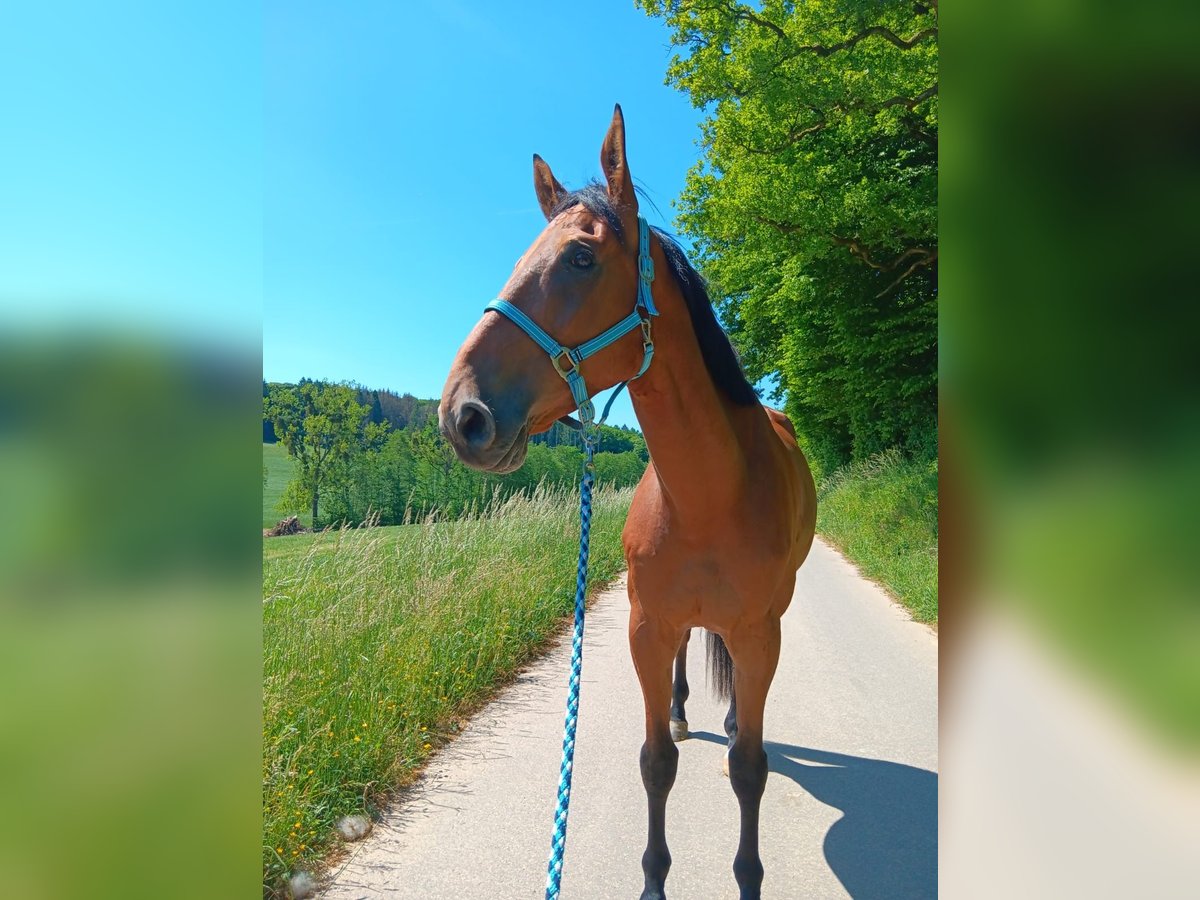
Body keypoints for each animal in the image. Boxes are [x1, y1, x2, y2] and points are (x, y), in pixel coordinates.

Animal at [439, 105, 816, 900]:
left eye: (581, 259)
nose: (463, 414)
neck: (708, 496)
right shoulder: (646, 627)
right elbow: (654, 765)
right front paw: (652, 881)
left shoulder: (761, 634)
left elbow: (749, 770)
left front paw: (747, 875)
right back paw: (680, 713)